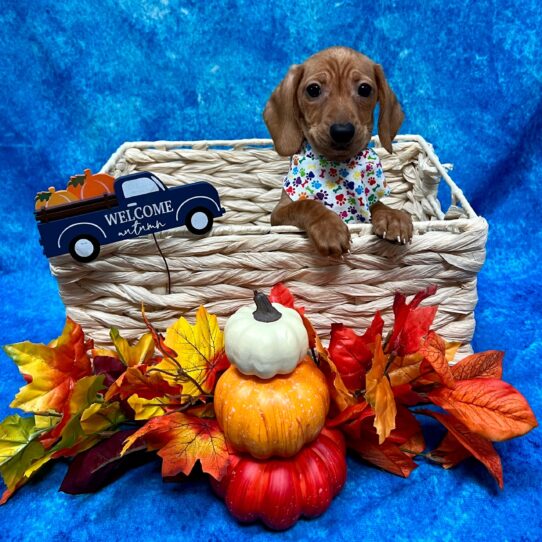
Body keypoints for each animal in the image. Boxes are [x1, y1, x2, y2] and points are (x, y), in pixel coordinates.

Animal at [266, 46, 414, 260]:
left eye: (364, 89)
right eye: (313, 90)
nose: (342, 131)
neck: (338, 168)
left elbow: (375, 204)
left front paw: (391, 215)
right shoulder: (279, 215)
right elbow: (307, 204)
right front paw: (329, 226)